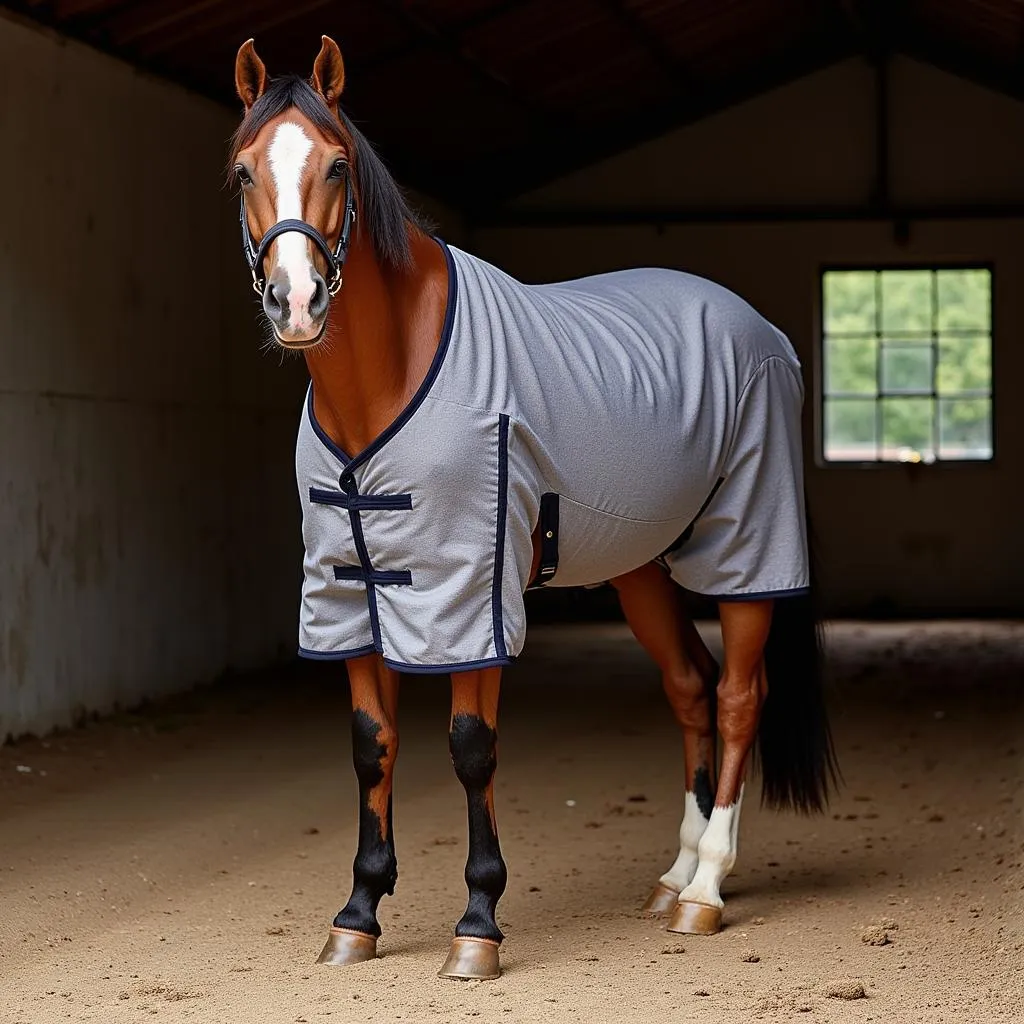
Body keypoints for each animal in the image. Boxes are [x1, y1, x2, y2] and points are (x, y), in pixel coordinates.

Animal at [228, 36, 835, 978]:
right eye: (243, 171)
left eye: (335, 163)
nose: (295, 302)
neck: (390, 375)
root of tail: (761, 331)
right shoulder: (349, 588)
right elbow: (372, 742)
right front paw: (358, 913)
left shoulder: (468, 587)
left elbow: (471, 748)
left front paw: (477, 925)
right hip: (639, 567)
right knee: (691, 689)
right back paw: (673, 876)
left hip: (747, 545)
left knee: (738, 697)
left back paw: (703, 892)